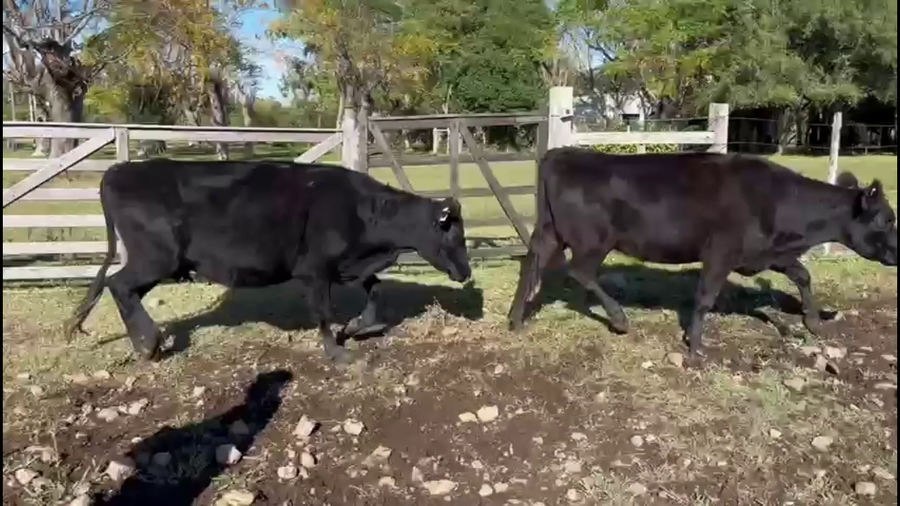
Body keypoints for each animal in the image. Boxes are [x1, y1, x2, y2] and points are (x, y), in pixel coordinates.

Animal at [65, 159, 472, 363]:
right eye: (452, 233)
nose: (466, 272)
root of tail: (118, 169)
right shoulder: (314, 270)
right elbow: (323, 313)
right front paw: (336, 352)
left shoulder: (346, 265)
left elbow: (375, 290)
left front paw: (359, 326)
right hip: (157, 258)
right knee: (119, 285)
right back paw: (147, 344)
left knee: (118, 286)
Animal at [507, 147, 897, 356]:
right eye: (887, 219)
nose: (897, 253)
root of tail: (562, 154)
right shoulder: (721, 251)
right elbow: (706, 296)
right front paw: (695, 346)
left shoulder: (765, 252)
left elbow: (802, 274)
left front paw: (813, 321)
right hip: (593, 239)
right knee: (580, 271)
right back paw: (619, 319)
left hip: (550, 232)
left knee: (531, 265)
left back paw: (516, 319)